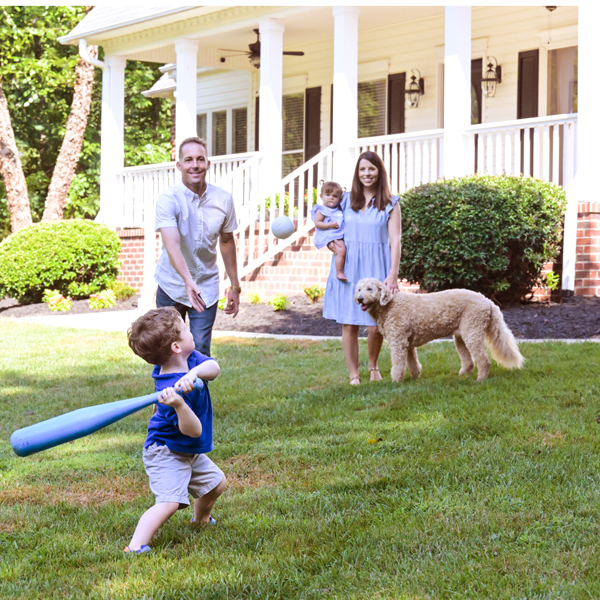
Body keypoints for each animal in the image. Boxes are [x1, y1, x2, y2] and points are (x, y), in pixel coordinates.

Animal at [354, 278, 524, 382]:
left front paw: (395, 381)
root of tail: (488, 301)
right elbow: (412, 363)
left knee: (484, 360)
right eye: (359, 289)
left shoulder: (398, 342)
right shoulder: (407, 344)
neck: (388, 306)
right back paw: (462, 375)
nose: (359, 299)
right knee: (469, 362)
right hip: (460, 337)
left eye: (370, 289)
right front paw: (415, 377)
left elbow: (398, 364)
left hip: (472, 332)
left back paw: (480, 379)